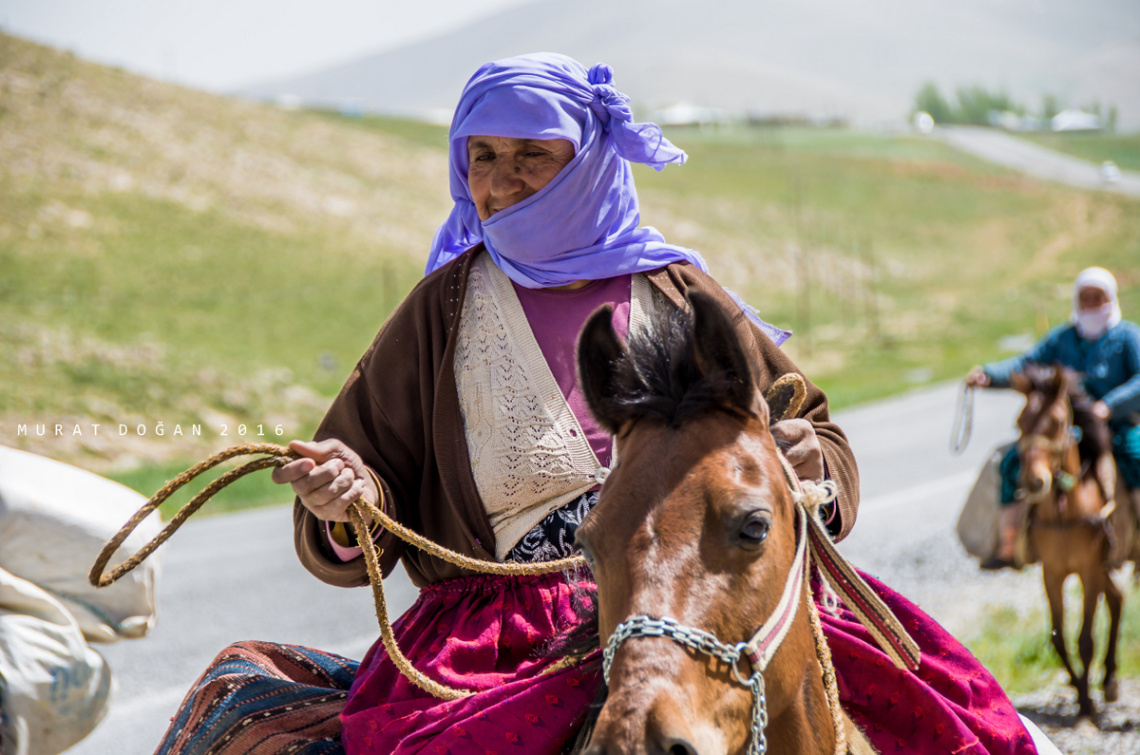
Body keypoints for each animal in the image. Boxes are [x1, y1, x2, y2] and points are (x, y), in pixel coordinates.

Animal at [1012, 367, 1126, 720]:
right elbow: (1058, 638)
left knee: (1115, 600)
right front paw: (1079, 690)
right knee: (1117, 598)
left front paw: (1087, 705)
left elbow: (1085, 639)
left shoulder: (1089, 570)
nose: (1034, 482)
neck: (1065, 513)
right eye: (1019, 422)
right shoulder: (1052, 573)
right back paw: (1109, 678)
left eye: (1059, 422)